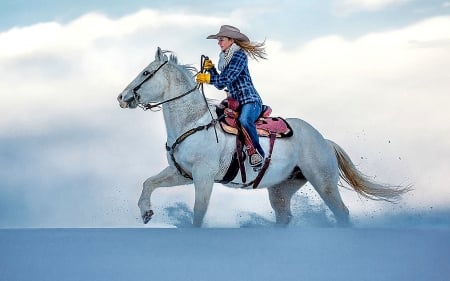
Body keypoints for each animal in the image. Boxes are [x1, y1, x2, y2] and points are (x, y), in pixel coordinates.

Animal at [117, 47, 408, 226]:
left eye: (146, 73)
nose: (122, 97)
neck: (194, 122)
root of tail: (324, 140)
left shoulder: (203, 177)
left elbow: (198, 214)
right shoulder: (182, 174)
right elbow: (148, 183)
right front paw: (146, 212)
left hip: (323, 182)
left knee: (342, 213)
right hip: (281, 189)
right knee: (284, 217)